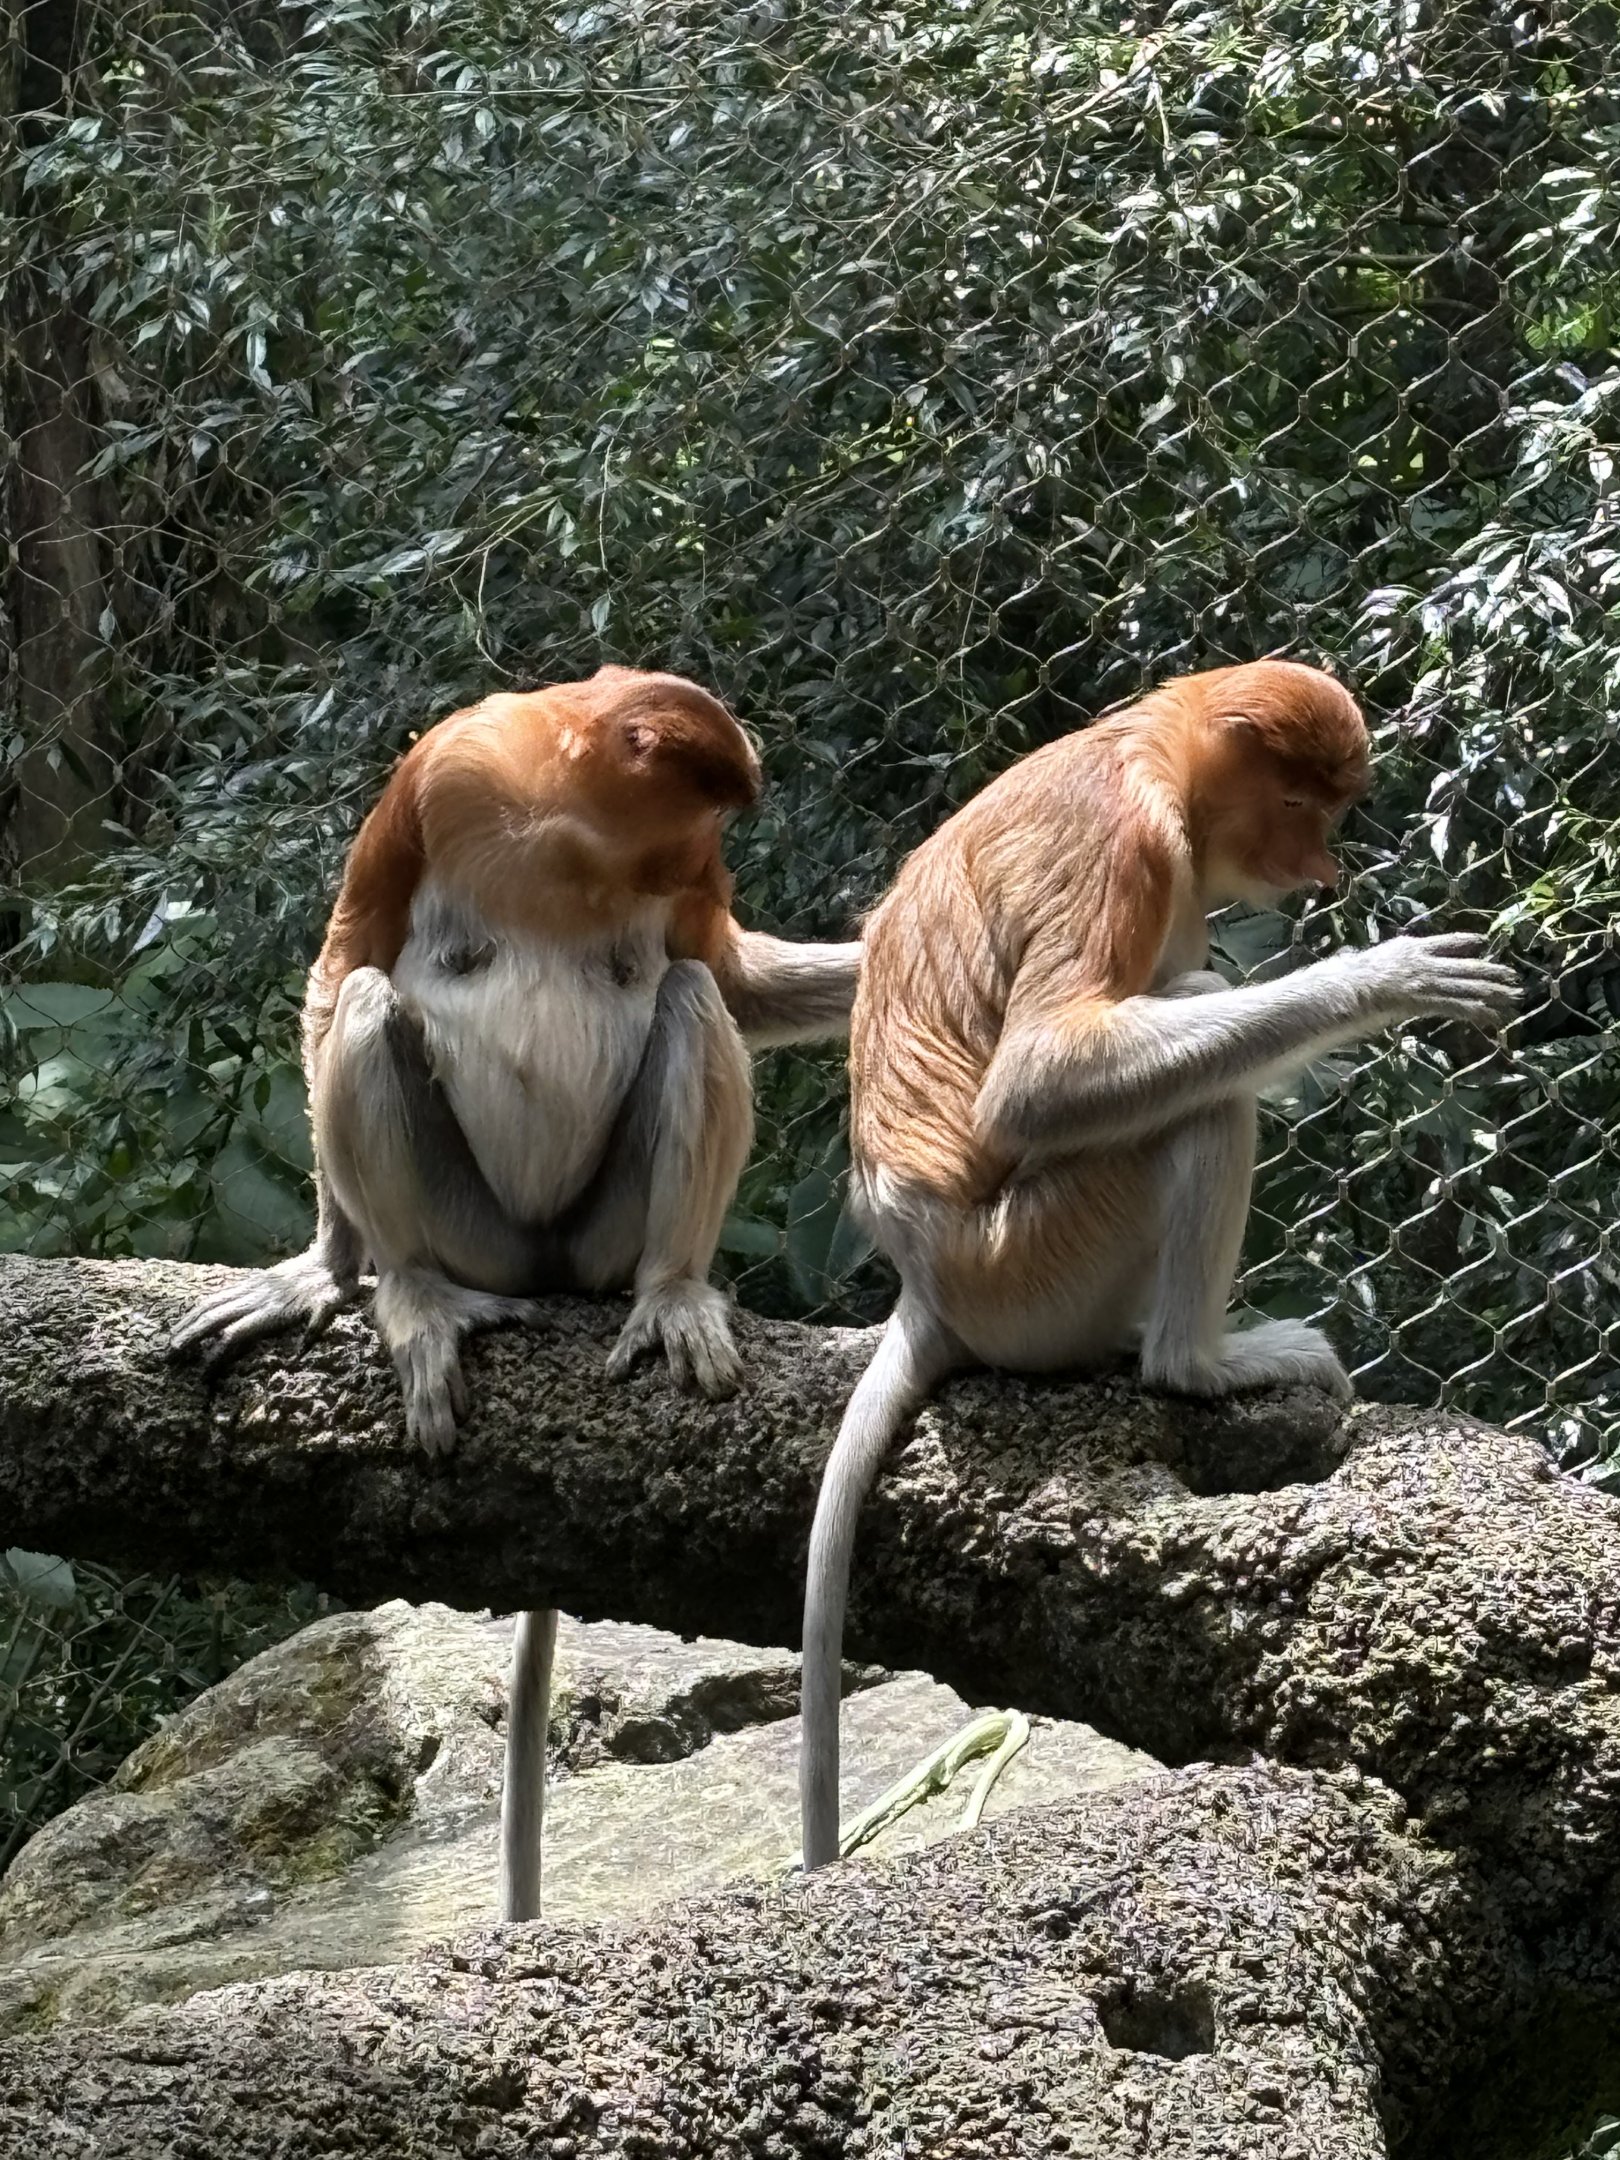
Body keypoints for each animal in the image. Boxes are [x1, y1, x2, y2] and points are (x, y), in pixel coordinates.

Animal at [170, 665, 860, 1920]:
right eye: (704, 822)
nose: (705, 863)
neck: (564, 825)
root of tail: (544, 1267)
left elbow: (726, 974)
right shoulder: (441, 770)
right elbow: (347, 956)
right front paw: (318, 1269)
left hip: (599, 1235)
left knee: (691, 994)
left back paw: (673, 1295)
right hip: (472, 1231)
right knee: (372, 1006)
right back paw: (409, 1298)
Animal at [797, 659, 1519, 1871]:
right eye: (1300, 804)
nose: (1322, 869)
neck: (1150, 753)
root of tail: (927, 1282)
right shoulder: (1123, 842)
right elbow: (1041, 1080)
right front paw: (1386, 977)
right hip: (1039, 1259)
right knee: (1200, 1085)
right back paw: (1199, 1361)